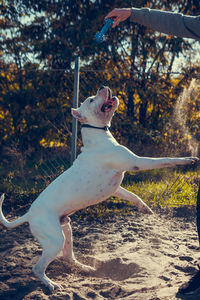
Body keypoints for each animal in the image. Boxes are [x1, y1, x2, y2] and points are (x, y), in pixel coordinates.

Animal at [0, 86, 198, 290]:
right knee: (38, 267)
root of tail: (29, 214)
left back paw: (85, 267)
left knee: (68, 256)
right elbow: (165, 159)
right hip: (55, 239)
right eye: (91, 100)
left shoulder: (117, 187)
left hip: (66, 229)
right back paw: (50, 283)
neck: (98, 135)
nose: (103, 87)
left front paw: (145, 208)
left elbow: (133, 195)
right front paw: (187, 160)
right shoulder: (137, 162)